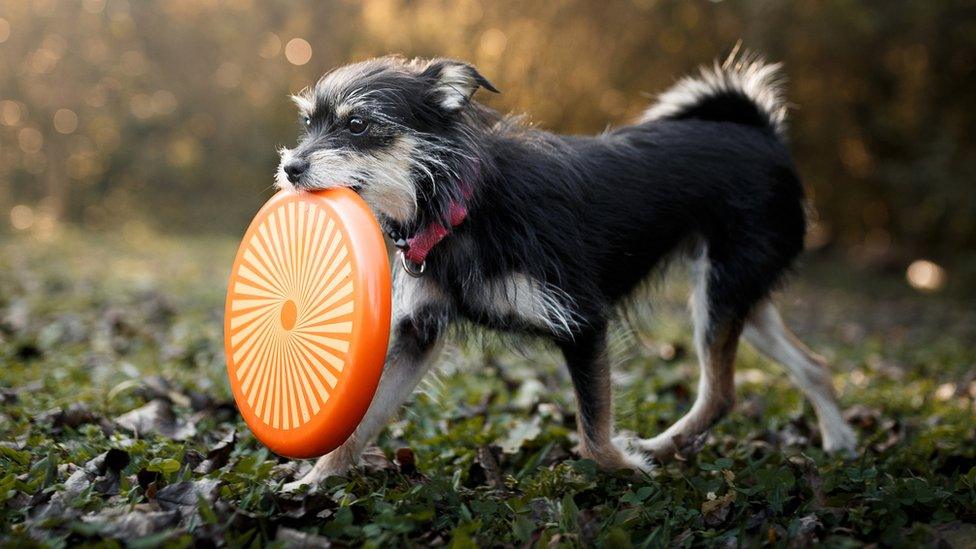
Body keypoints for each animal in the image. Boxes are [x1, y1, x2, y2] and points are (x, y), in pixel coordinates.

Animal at [274, 51, 856, 488]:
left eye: (357, 124)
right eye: (308, 124)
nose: (290, 167)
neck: (465, 205)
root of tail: (762, 133)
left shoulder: (583, 322)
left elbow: (593, 435)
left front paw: (627, 470)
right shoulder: (418, 333)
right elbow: (360, 423)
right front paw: (312, 484)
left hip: (721, 290)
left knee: (720, 393)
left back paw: (661, 447)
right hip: (736, 294)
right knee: (812, 365)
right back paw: (841, 440)